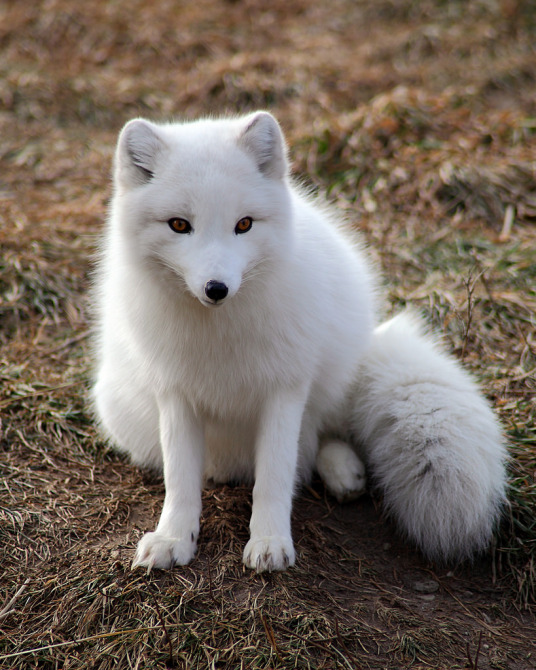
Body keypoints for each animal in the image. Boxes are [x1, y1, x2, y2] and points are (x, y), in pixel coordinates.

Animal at [91, 110, 506, 572]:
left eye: (244, 225)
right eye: (179, 225)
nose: (217, 288)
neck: (219, 333)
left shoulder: (285, 388)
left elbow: (274, 475)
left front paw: (270, 541)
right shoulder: (175, 393)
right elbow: (180, 479)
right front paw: (174, 538)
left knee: (314, 442)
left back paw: (344, 472)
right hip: (115, 408)